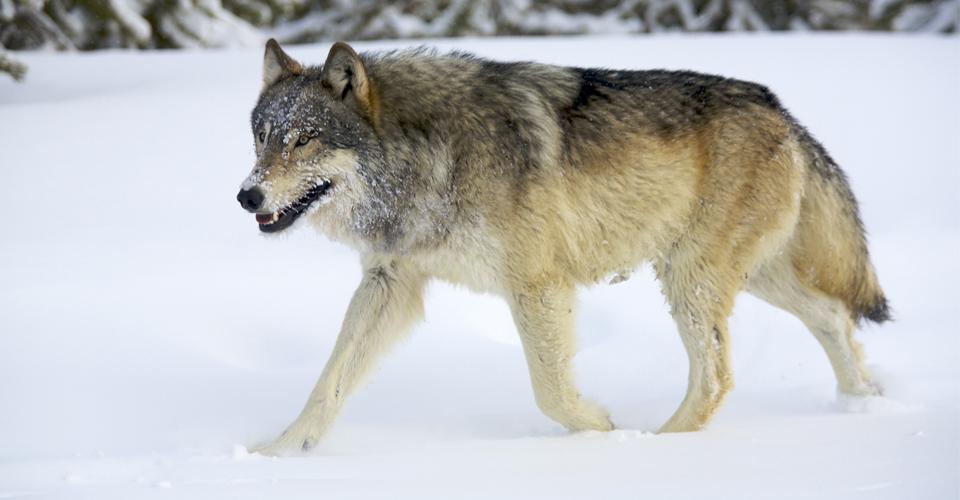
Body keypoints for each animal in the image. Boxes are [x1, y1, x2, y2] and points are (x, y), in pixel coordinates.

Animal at [236, 39, 888, 454]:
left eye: (305, 140)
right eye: (263, 138)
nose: (246, 195)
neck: (431, 157)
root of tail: (779, 108)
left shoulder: (537, 285)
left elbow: (550, 390)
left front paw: (600, 432)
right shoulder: (390, 282)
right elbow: (328, 381)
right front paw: (278, 455)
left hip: (692, 278)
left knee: (717, 377)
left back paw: (660, 448)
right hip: (748, 275)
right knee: (832, 316)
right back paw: (867, 400)